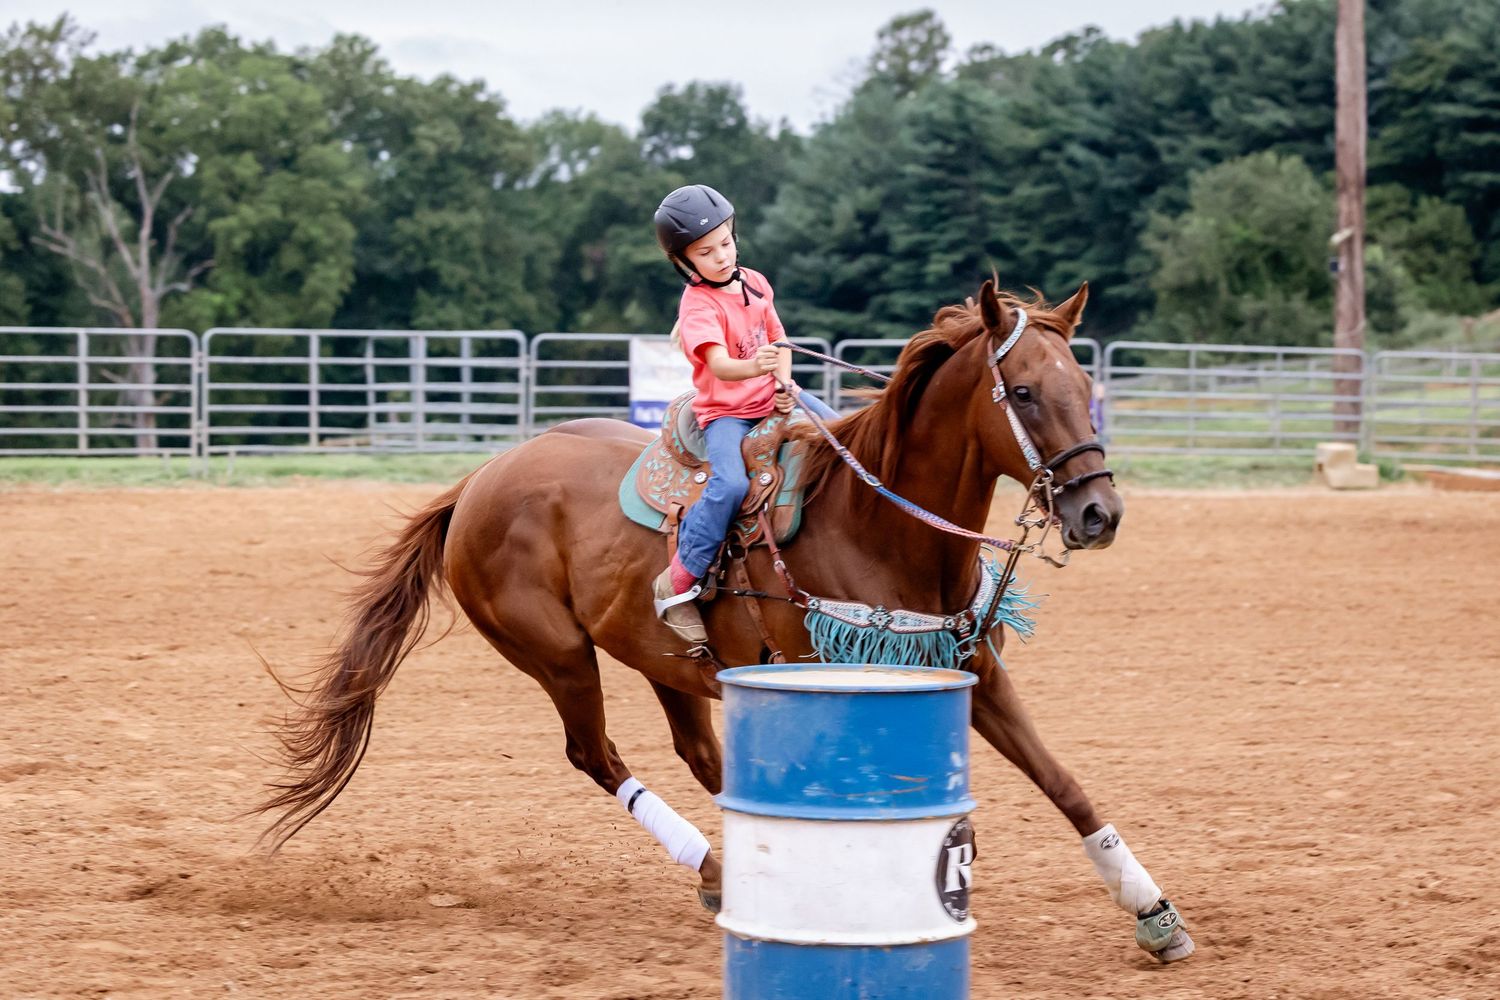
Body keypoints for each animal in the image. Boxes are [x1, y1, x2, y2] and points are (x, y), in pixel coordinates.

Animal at [259, 279, 1195, 963]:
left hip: (665, 661)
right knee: (596, 755)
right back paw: (712, 864)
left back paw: (730, 873)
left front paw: (1154, 913)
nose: (1099, 514)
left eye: (1087, 386)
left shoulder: (973, 672)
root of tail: (482, 479)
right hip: (557, 654)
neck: (878, 523)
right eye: (1026, 392)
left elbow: (1064, 782)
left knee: (707, 756)